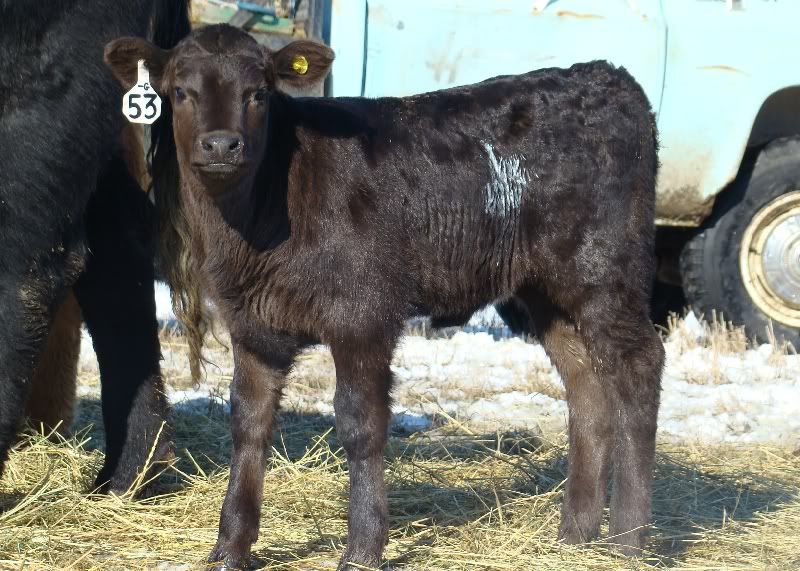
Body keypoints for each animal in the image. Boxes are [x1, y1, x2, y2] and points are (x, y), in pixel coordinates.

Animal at [105, 24, 665, 569]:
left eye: (259, 93)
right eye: (180, 91)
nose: (222, 145)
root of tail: (605, 75)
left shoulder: (364, 313)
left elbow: (360, 423)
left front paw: (363, 549)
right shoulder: (252, 325)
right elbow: (249, 422)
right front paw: (230, 549)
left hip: (604, 267)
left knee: (639, 364)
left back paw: (627, 541)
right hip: (544, 289)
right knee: (586, 383)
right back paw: (575, 537)